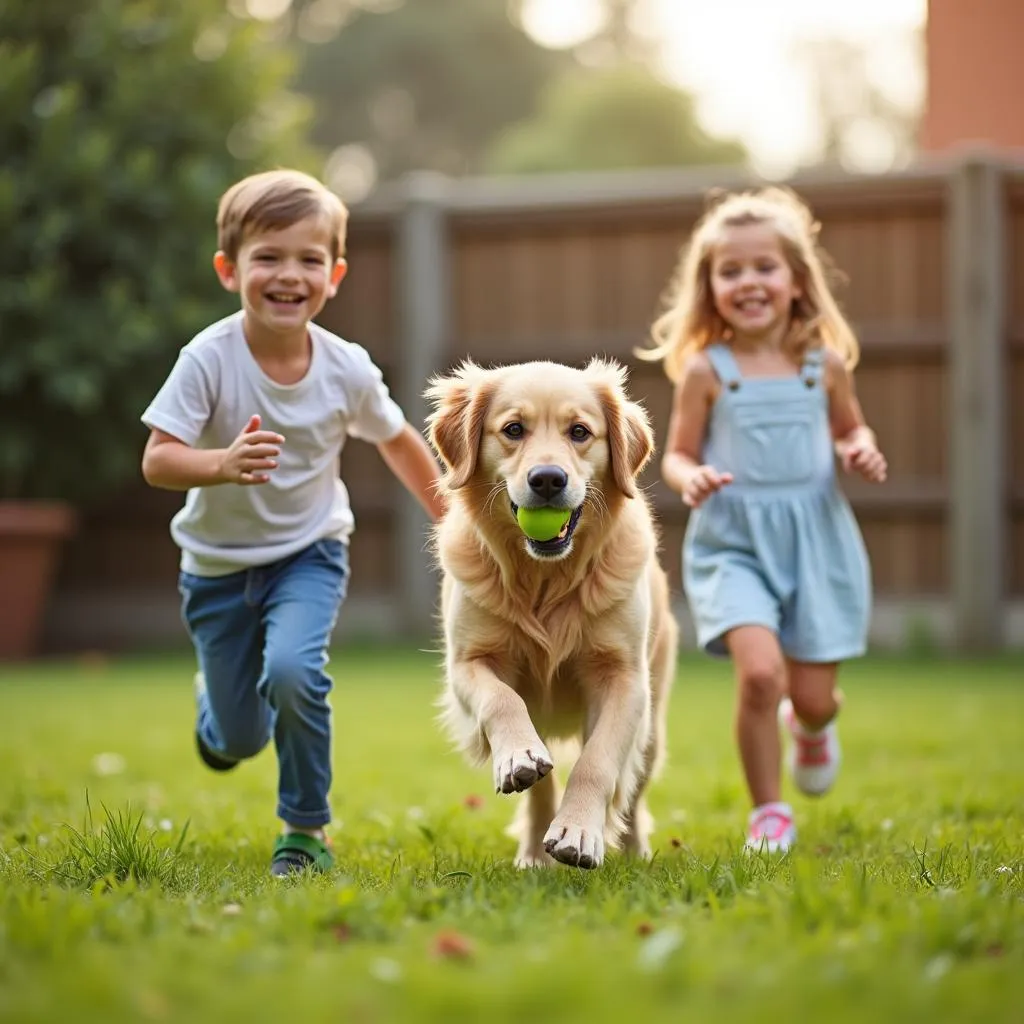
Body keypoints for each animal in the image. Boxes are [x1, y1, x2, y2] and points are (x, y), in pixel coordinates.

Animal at [425, 360, 679, 872]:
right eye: (513, 430)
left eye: (579, 431)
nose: (547, 479)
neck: (545, 578)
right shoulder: (468, 663)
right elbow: (501, 701)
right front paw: (518, 758)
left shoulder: (623, 677)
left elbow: (597, 762)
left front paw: (579, 832)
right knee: (539, 788)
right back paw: (532, 854)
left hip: (652, 729)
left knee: (633, 791)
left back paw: (634, 852)